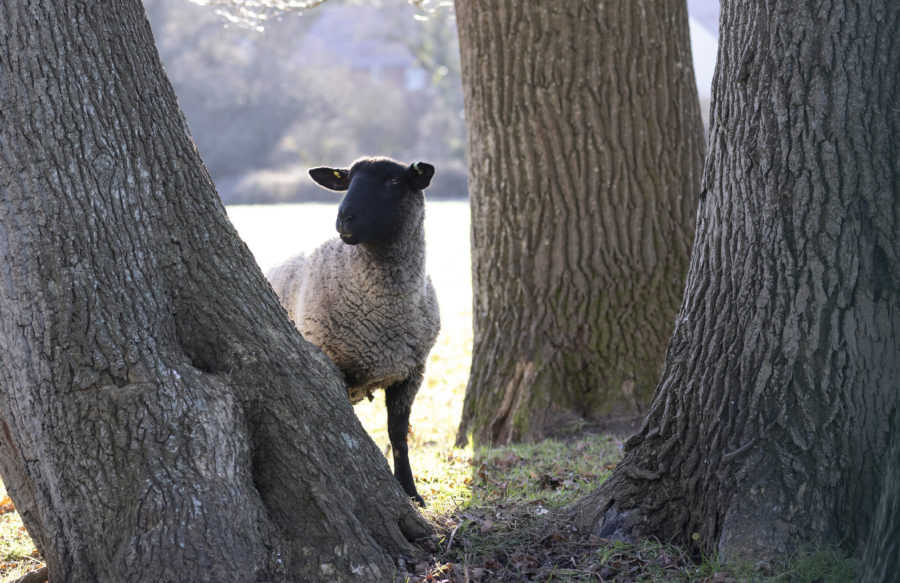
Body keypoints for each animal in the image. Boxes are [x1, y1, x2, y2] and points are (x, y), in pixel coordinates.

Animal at [264, 156, 440, 506]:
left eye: (393, 181)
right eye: (348, 180)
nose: (344, 218)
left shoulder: (411, 373)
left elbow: (397, 435)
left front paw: (411, 493)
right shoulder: (335, 366)